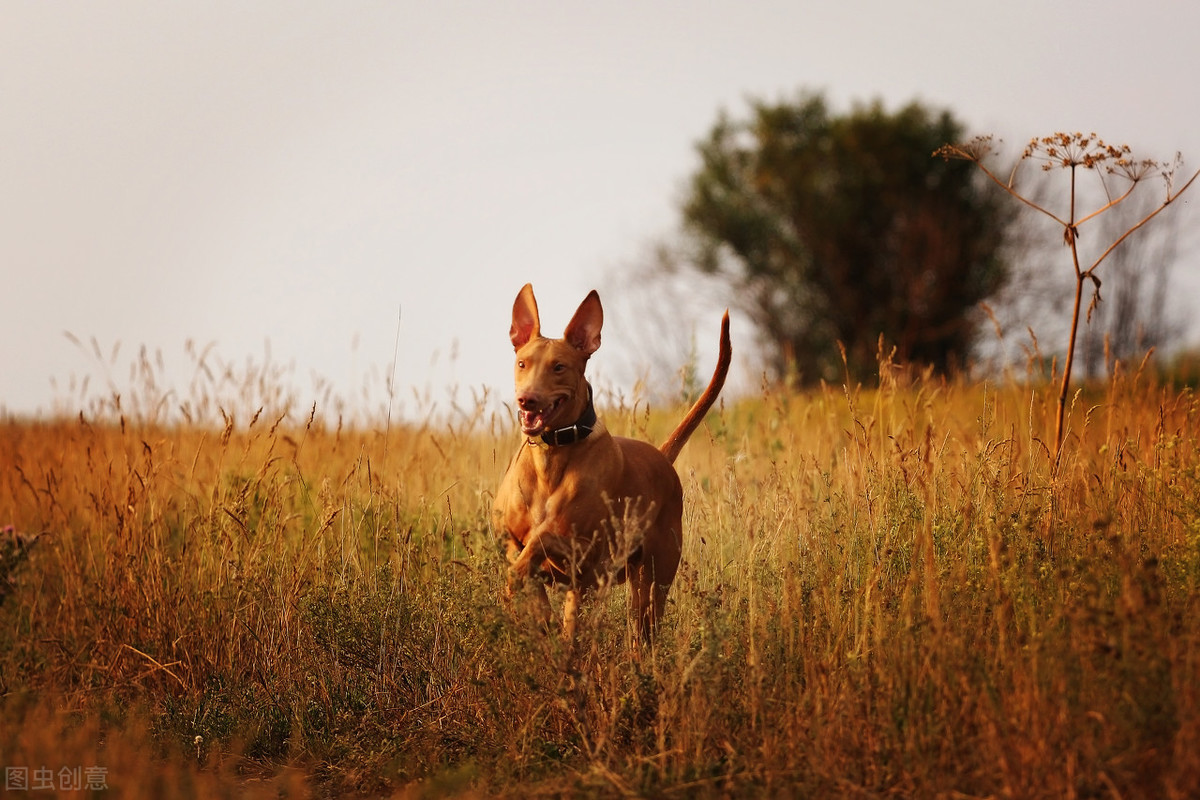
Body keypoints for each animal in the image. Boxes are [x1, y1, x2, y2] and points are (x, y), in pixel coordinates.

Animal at [489, 284, 729, 642]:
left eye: (559, 367)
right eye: (522, 363)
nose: (526, 399)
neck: (551, 455)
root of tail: (661, 455)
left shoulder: (578, 550)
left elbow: (542, 540)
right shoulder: (508, 535)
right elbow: (525, 568)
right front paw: (535, 613)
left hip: (652, 582)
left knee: (642, 630)